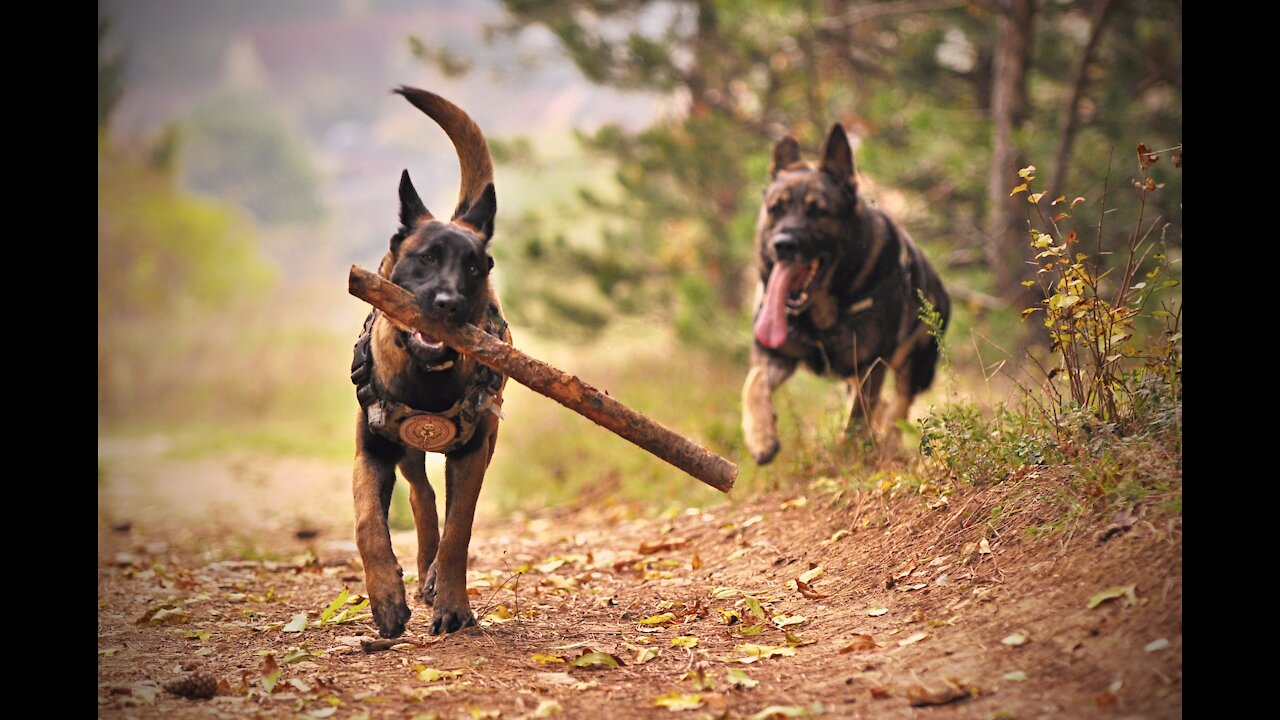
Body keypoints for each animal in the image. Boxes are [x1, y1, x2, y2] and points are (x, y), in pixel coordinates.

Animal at [353, 88, 512, 632]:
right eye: (425, 258)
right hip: (405, 451)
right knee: (420, 496)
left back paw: (433, 579)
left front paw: (453, 604)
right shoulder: (372, 451)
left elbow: (459, 532)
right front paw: (385, 596)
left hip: (487, 442)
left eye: (474, 267)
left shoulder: (472, 454)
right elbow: (368, 523)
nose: (448, 304)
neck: (427, 378)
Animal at [747, 122, 947, 461]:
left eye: (819, 212)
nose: (783, 245)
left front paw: (848, 458)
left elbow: (856, 419)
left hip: (914, 366)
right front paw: (761, 436)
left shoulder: (870, 365)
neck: (820, 313)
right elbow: (753, 383)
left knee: (898, 407)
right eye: (776, 209)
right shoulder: (774, 354)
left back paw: (887, 444)